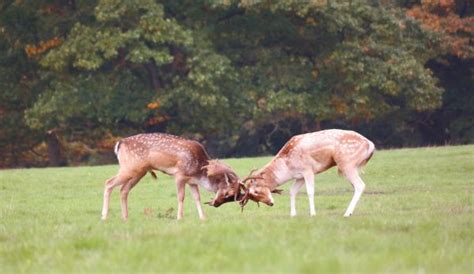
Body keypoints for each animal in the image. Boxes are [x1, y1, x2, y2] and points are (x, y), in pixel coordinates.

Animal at [100, 133, 241, 220]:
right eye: (229, 193)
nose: (216, 204)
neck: (199, 171)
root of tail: (119, 143)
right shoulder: (179, 175)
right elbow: (181, 197)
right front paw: (180, 217)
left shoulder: (192, 181)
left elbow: (197, 197)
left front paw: (203, 218)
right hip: (129, 168)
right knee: (108, 182)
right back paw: (104, 217)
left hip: (139, 172)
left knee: (123, 190)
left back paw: (125, 217)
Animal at [239, 130, 376, 217]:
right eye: (252, 197)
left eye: (255, 191)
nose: (270, 203)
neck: (287, 167)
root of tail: (371, 145)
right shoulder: (299, 177)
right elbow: (292, 191)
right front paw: (293, 214)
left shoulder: (308, 170)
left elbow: (310, 191)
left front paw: (313, 213)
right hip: (352, 167)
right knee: (357, 186)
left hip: (346, 164)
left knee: (360, 185)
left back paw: (347, 213)